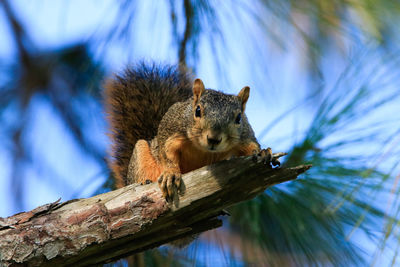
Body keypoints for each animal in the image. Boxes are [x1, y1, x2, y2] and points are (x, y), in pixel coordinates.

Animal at [104, 62, 276, 200]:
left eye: (239, 118)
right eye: (197, 110)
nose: (213, 139)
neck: (202, 150)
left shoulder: (245, 136)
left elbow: (251, 146)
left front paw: (263, 152)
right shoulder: (171, 129)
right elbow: (166, 153)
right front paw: (170, 173)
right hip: (140, 156)